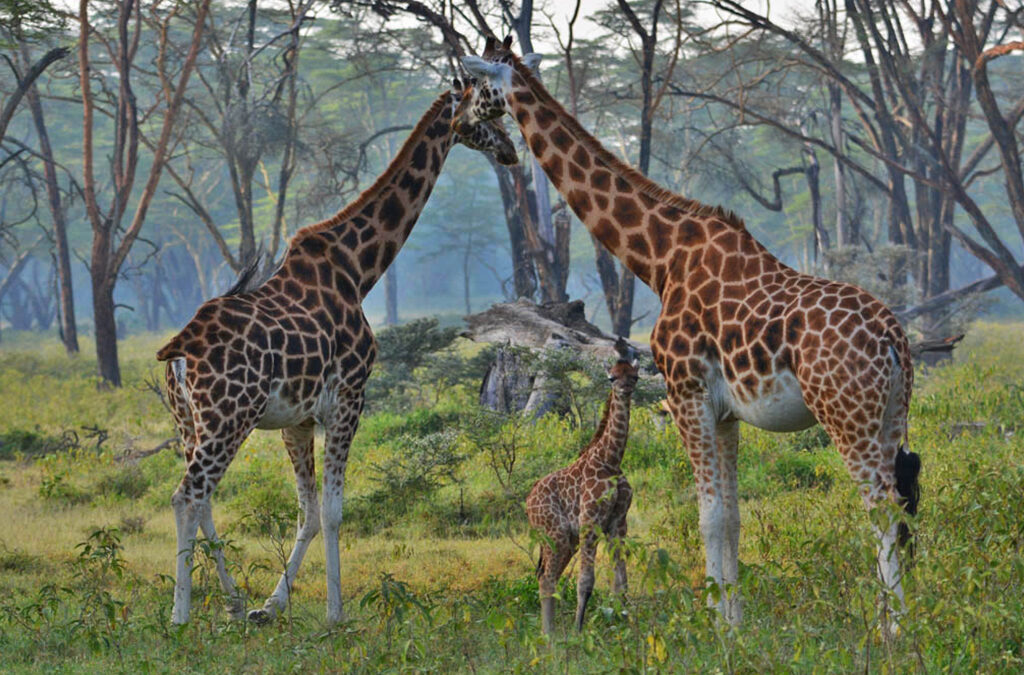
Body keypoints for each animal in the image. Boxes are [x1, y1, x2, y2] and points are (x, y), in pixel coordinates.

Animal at [156, 81, 517, 626]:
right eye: (487, 110)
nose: (511, 151)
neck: (358, 268)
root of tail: (179, 350)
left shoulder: (298, 419)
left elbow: (306, 512)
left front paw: (270, 605)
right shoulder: (349, 397)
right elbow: (332, 510)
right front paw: (336, 612)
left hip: (189, 420)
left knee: (204, 502)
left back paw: (233, 603)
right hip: (228, 415)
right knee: (187, 496)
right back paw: (180, 616)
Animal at [527, 356, 638, 636]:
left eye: (634, 376)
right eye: (611, 377)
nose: (624, 390)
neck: (611, 460)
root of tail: (528, 502)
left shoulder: (618, 523)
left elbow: (621, 581)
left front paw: (623, 622)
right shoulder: (590, 521)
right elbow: (586, 581)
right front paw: (578, 630)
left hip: (566, 539)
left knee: (547, 577)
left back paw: (548, 631)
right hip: (554, 532)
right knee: (547, 579)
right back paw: (550, 635)